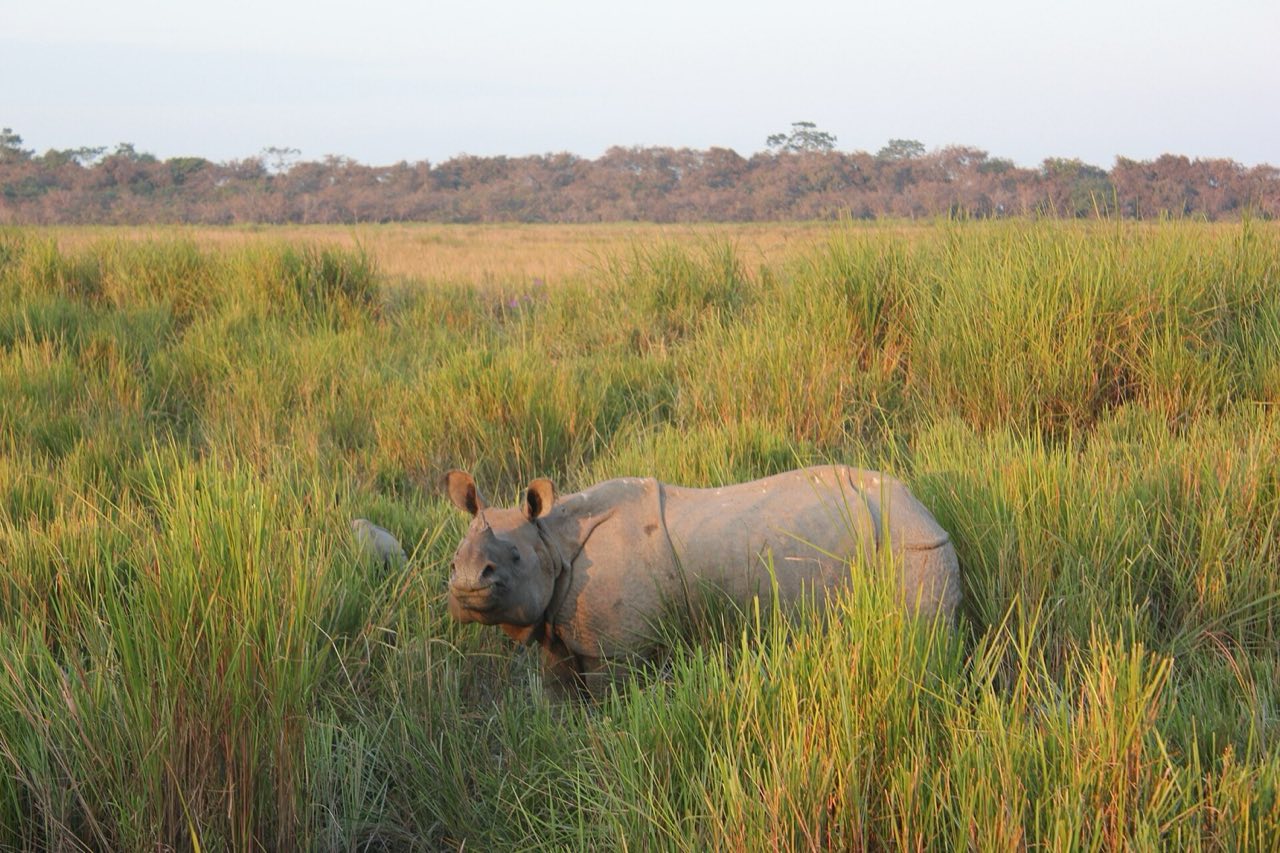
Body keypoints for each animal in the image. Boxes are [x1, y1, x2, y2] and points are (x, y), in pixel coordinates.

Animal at [444, 466, 960, 697]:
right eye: (452, 562)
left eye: (514, 558)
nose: (466, 585)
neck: (551, 539)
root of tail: (922, 507)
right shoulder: (560, 625)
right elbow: (560, 693)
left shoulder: (617, 648)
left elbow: (610, 699)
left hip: (912, 545)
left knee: (921, 633)